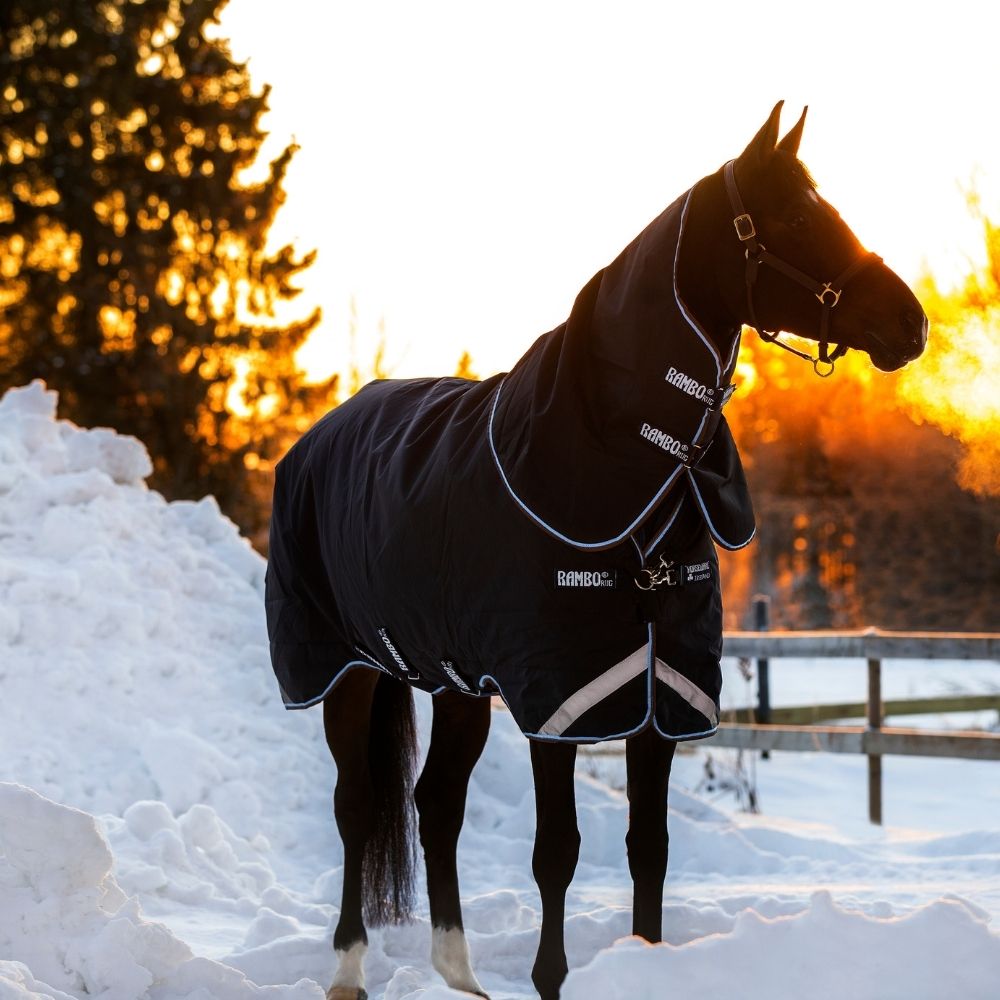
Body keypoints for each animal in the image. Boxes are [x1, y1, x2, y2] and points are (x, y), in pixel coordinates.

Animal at [266, 103, 928, 1000]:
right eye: (795, 218)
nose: (911, 322)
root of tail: (319, 435)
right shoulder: (562, 699)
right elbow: (558, 855)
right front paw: (552, 979)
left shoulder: (659, 694)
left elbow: (649, 850)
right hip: (347, 669)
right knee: (359, 804)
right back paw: (347, 968)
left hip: (457, 682)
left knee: (436, 805)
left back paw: (460, 974)